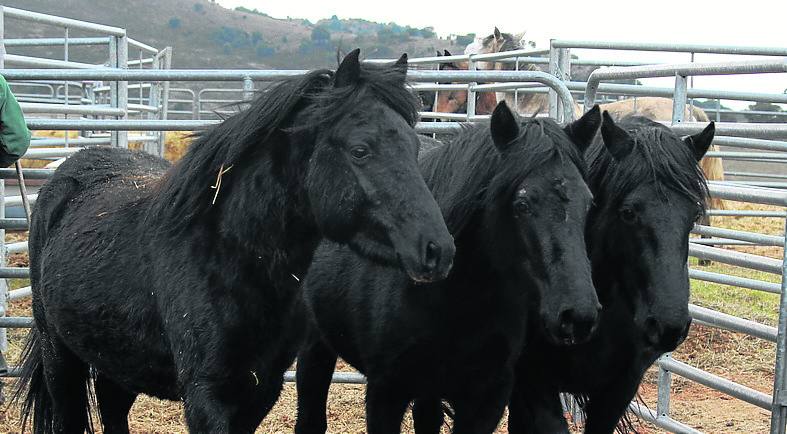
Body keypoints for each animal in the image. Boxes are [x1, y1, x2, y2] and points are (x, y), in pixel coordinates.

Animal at [13, 49, 456, 432]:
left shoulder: (262, 389)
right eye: (361, 150)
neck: (227, 255)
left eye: (414, 145)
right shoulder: (206, 396)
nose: (438, 249)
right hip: (59, 355)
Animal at [296, 102, 604, 434]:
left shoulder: (486, 398)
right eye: (522, 204)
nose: (577, 315)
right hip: (316, 346)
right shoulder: (385, 392)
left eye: (588, 203)